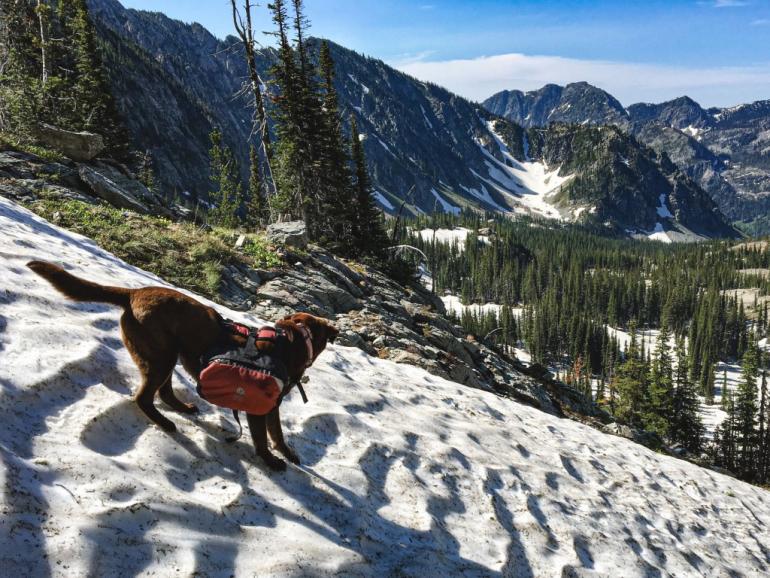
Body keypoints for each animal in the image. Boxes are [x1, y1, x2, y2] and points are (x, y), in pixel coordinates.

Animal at [26, 260, 336, 468]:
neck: (292, 340)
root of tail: (133, 293)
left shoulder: (272, 406)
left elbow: (278, 434)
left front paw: (287, 453)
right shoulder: (258, 406)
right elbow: (262, 439)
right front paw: (271, 461)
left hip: (167, 355)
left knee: (163, 392)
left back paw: (183, 408)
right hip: (161, 356)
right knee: (144, 397)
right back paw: (165, 422)